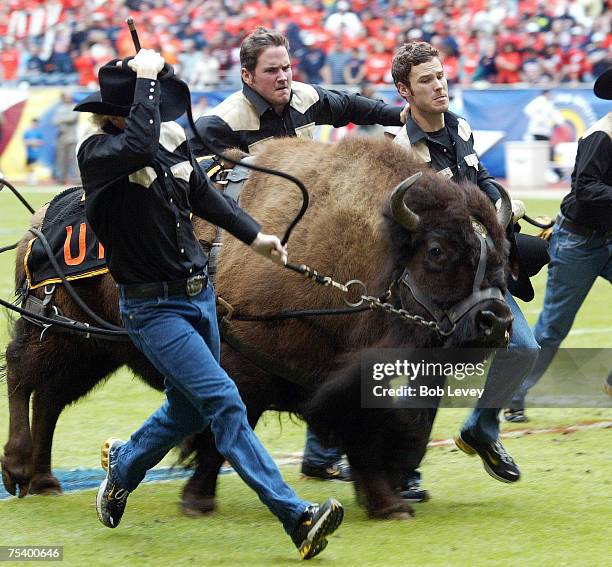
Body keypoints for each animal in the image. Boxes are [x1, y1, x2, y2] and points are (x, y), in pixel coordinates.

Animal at [2, 136, 512, 520]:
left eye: (501, 252)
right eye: (437, 250)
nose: (497, 320)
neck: (367, 248)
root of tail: (41, 218)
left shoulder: (349, 385)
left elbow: (363, 439)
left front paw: (389, 507)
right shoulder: (242, 372)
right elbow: (221, 435)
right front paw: (198, 501)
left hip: (92, 348)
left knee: (50, 398)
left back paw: (45, 480)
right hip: (58, 330)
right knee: (25, 380)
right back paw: (19, 471)